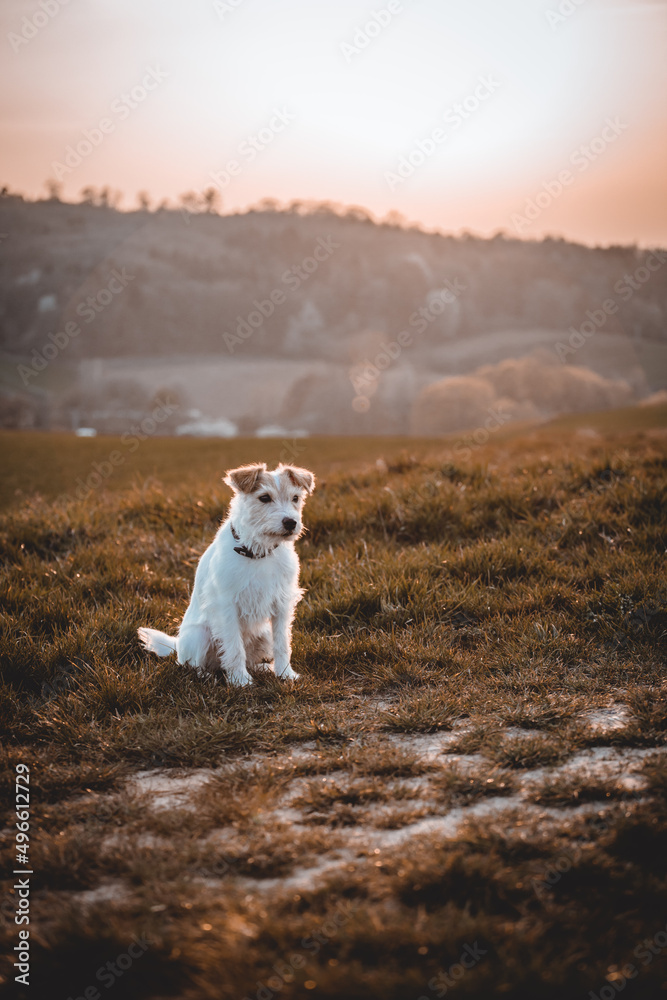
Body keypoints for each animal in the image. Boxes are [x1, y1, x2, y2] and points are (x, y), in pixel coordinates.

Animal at [138, 462, 316, 688]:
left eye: (295, 498)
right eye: (264, 498)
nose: (291, 522)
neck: (258, 551)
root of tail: (176, 645)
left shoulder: (281, 604)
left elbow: (282, 643)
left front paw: (285, 674)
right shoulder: (227, 607)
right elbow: (234, 647)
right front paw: (240, 681)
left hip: (264, 633)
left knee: (248, 660)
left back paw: (263, 668)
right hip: (200, 635)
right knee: (191, 666)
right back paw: (209, 677)